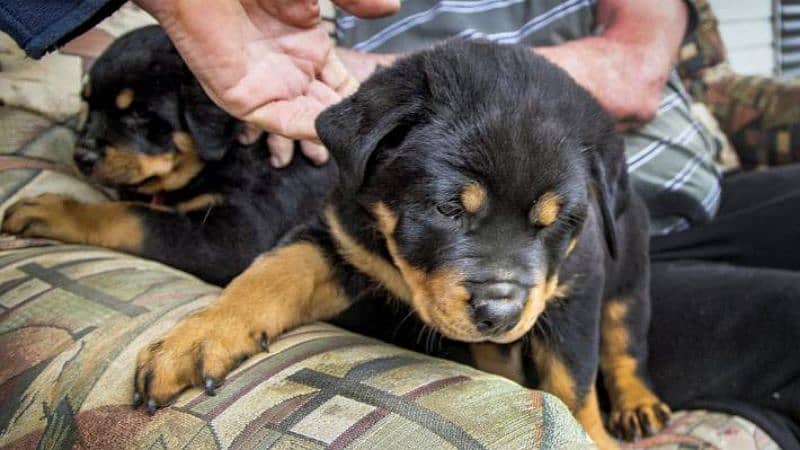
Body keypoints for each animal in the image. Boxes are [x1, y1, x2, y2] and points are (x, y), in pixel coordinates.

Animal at [0, 25, 338, 284]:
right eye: (88, 104)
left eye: (138, 112)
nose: (82, 156)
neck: (226, 155)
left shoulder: (233, 238)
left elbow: (130, 215)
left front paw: (50, 210)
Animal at [130, 40, 668, 448]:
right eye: (448, 209)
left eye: (553, 224)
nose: (500, 314)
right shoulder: (340, 241)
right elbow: (271, 272)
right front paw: (196, 338)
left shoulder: (577, 284)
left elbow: (573, 384)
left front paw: (594, 436)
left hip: (628, 274)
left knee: (623, 338)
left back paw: (639, 405)